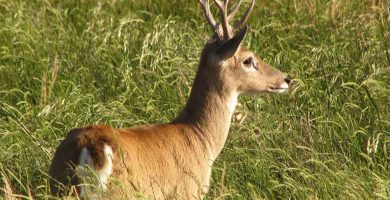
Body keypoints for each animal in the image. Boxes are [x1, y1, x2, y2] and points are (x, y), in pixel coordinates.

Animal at [48, 0, 290, 199]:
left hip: (58, 185)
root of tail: (90, 147)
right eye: (248, 60)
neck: (201, 139)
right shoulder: (187, 191)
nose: (286, 78)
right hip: (120, 193)